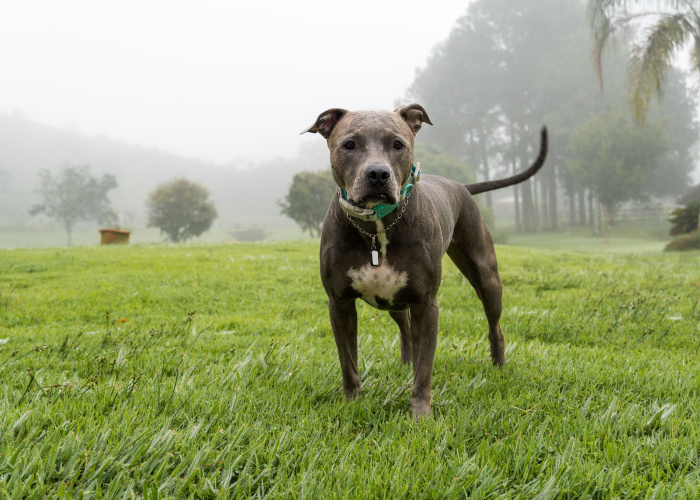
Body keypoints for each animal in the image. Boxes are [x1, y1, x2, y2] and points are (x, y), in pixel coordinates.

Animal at [300, 103, 548, 416]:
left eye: (397, 144)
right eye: (349, 144)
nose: (378, 174)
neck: (376, 227)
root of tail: (461, 186)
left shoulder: (427, 304)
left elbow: (425, 368)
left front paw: (420, 414)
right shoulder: (340, 304)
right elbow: (349, 364)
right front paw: (353, 404)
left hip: (486, 277)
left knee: (495, 326)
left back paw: (499, 367)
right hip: (393, 301)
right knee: (406, 329)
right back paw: (406, 363)